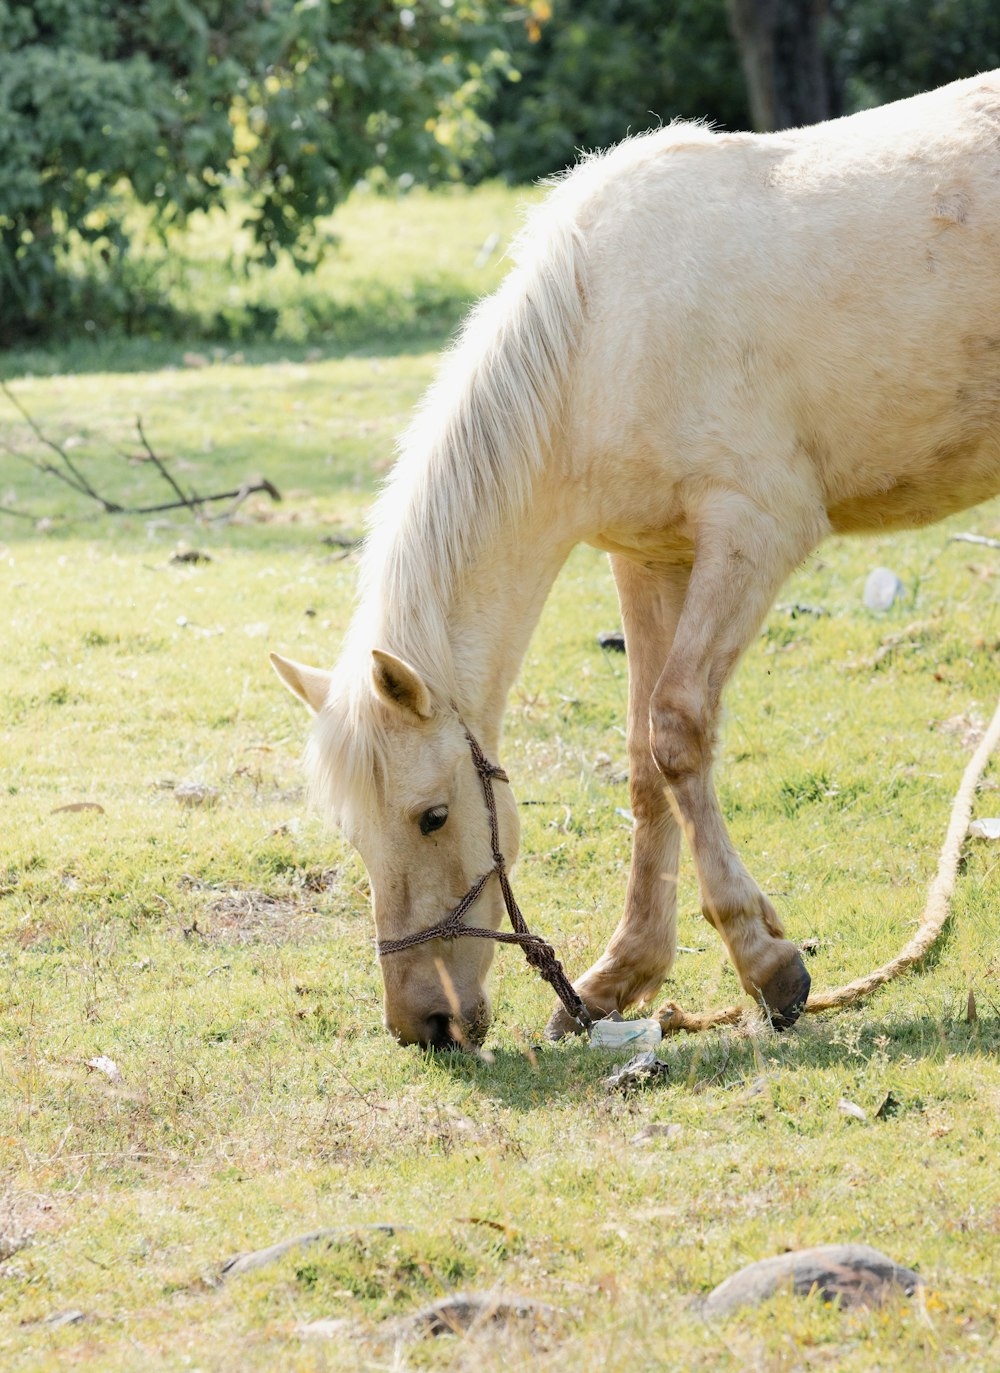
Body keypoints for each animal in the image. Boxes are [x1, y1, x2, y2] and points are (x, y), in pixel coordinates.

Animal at [277, 72, 1000, 1037]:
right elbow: (640, 764)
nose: (423, 1024)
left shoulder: (755, 533)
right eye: (353, 831)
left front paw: (764, 961)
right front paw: (622, 973)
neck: (602, 337)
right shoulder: (649, 557)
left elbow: (677, 732)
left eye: (432, 816)